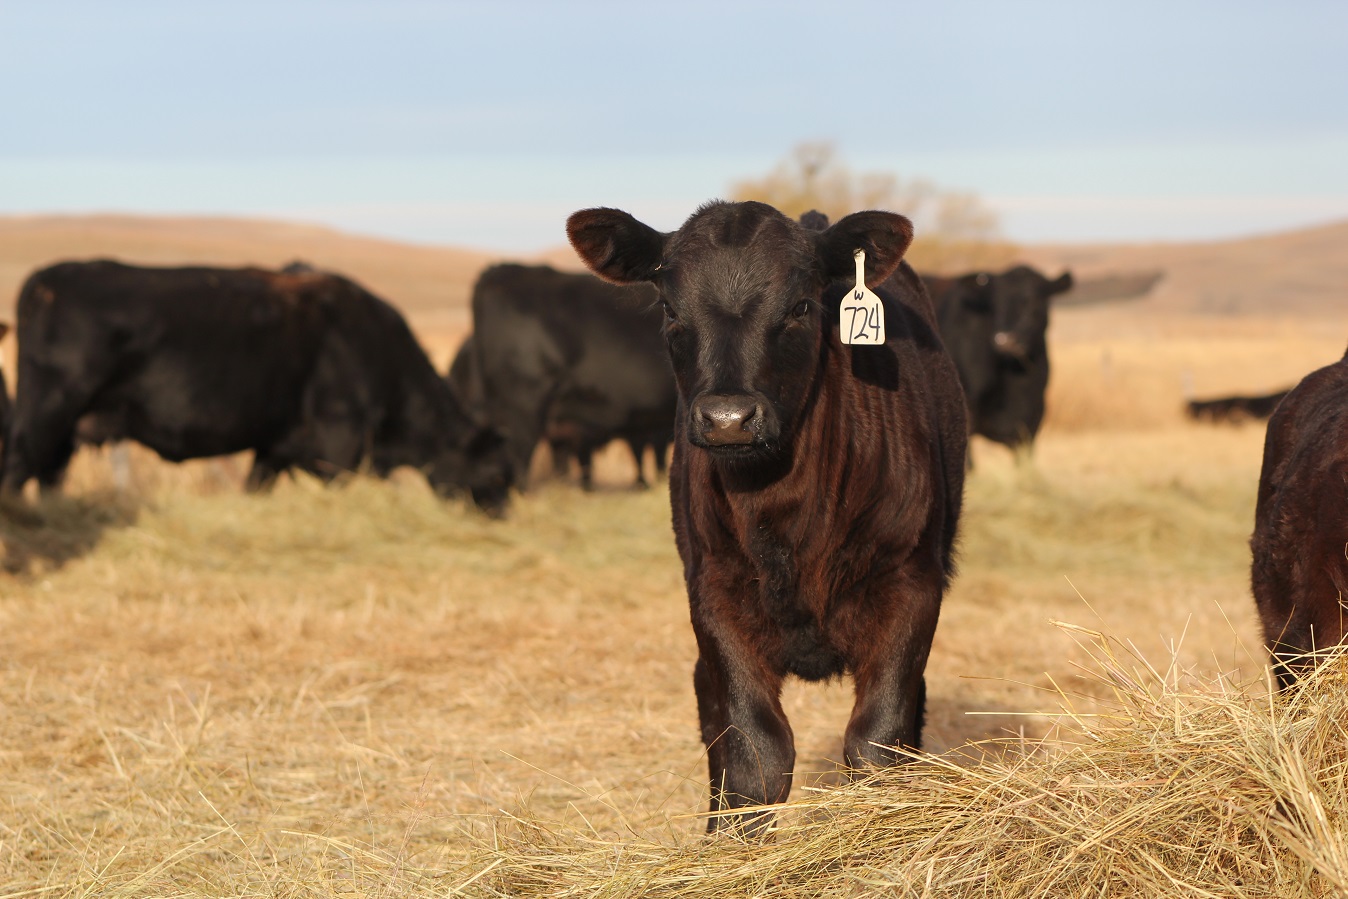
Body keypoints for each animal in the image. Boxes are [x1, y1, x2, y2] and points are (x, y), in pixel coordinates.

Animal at [0, 260, 512, 512]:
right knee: (18, 468)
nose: (501, 515)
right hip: (47, 412)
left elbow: (255, 487)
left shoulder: (277, 446)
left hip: (68, 429)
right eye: (493, 473)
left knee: (48, 476)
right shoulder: (339, 442)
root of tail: (46, 278)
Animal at [568, 200, 970, 835]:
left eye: (802, 306)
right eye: (670, 309)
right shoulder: (713, 589)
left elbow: (878, 743)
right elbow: (755, 752)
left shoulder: (911, 582)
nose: (728, 418)